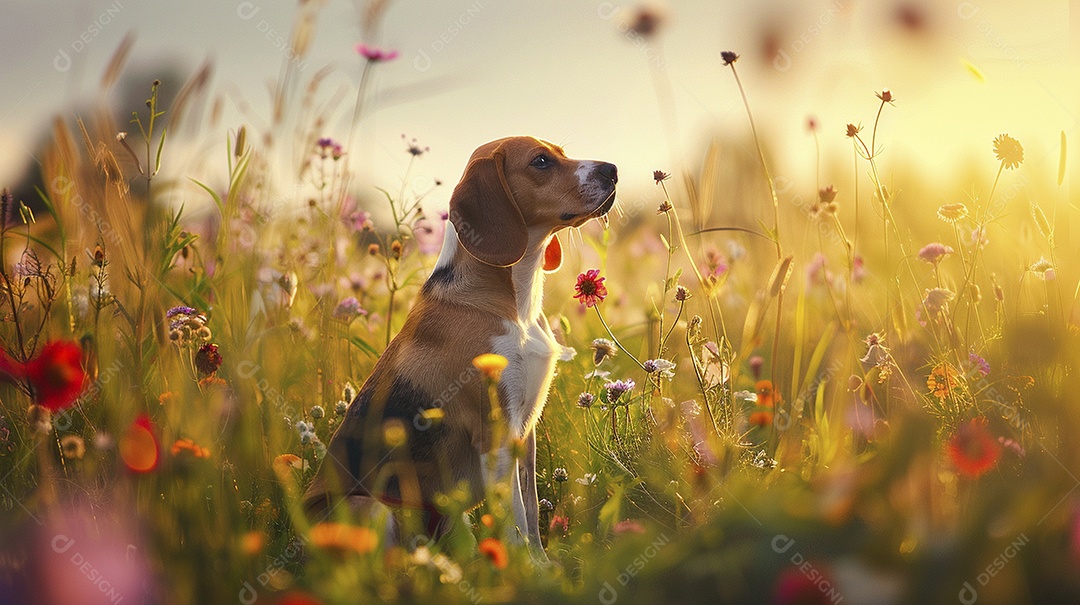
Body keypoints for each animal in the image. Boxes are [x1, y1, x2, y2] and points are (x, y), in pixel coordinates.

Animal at [304, 134, 622, 546]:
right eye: (540, 161)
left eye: (562, 153)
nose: (612, 170)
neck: (515, 306)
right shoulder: (497, 436)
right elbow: (517, 525)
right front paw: (524, 563)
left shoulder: (526, 435)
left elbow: (531, 517)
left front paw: (543, 562)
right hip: (372, 507)